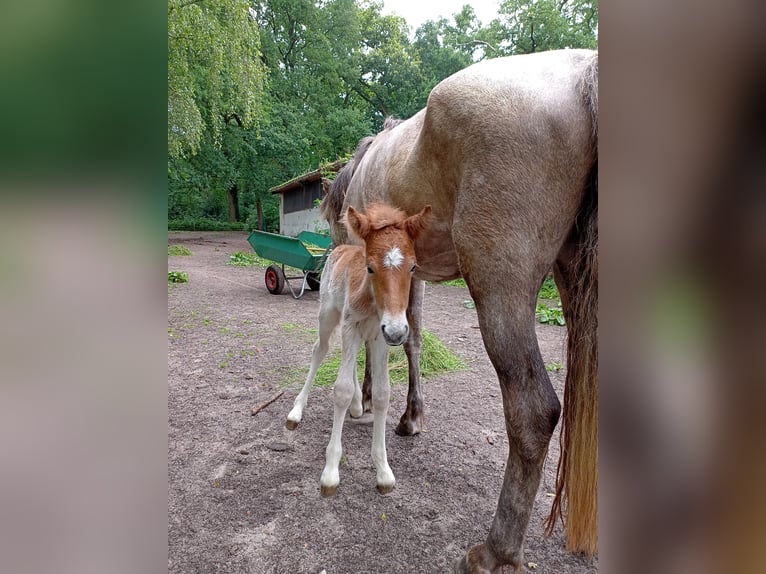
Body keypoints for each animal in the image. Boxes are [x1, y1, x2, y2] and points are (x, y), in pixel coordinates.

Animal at [286, 205, 432, 498]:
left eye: (413, 267)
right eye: (370, 267)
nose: (398, 332)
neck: (372, 302)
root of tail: (340, 248)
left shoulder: (379, 336)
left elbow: (382, 394)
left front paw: (383, 471)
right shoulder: (351, 326)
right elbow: (340, 390)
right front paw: (330, 473)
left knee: (350, 361)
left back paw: (355, 405)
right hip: (329, 315)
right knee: (320, 350)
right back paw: (296, 410)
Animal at [322, 50, 600, 574]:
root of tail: (582, 74)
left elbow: (376, 337)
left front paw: (365, 399)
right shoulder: (406, 274)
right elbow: (409, 339)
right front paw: (409, 416)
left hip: (498, 285)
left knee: (534, 411)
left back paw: (495, 551)